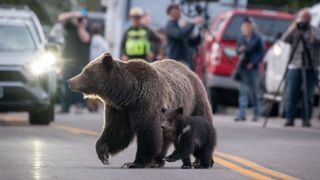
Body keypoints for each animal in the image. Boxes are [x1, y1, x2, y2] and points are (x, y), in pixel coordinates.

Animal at [68, 52, 214, 168]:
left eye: (86, 72)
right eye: (84, 69)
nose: (71, 81)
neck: (128, 93)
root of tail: (191, 71)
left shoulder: (147, 102)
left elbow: (148, 132)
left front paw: (135, 163)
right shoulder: (119, 109)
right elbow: (116, 131)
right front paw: (103, 153)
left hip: (194, 103)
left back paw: (202, 161)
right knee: (166, 137)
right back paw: (158, 161)